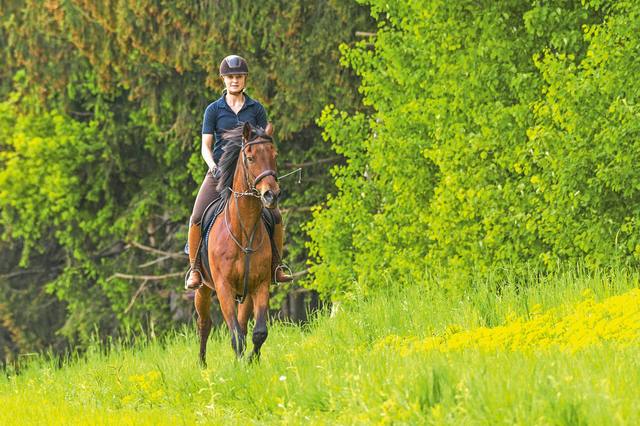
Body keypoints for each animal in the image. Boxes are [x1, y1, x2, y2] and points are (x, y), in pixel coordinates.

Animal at [194, 121, 280, 365]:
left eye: (274, 155)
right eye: (250, 158)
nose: (271, 195)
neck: (243, 232)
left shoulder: (259, 285)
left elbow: (258, 332)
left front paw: (251, 361)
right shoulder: (223, 287)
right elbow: (236, 335)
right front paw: (241, 363)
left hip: (246, 293)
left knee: (242, 324)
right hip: (203, 288)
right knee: (204, 324)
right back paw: (202, 365)